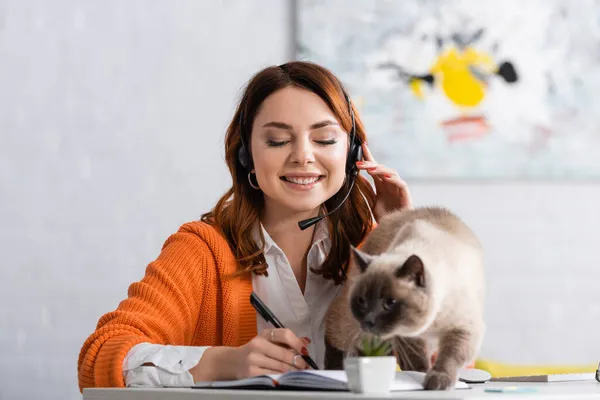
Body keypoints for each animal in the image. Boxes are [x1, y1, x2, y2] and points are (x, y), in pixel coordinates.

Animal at [326, 208, 486, 390]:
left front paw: (436, 382)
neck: (431, 323)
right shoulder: (407, 336)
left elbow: (450, 357)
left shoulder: (463, 328)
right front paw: (419, 376)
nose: (368, 321)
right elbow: (416, 361)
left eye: (390, 303)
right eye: (362, 301)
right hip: (354, 329)